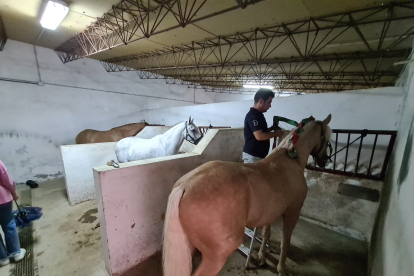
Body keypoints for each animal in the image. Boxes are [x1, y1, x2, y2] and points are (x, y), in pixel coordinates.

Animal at [163, 114, 332, 276]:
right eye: (327, 139)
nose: (324, 160)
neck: (291, 160)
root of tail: (185, 186)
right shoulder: (293, 213)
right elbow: (285, 242)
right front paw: (281, 269)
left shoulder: (271, 212)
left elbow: (266, 234)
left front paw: (262, 257)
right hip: (216, 257)